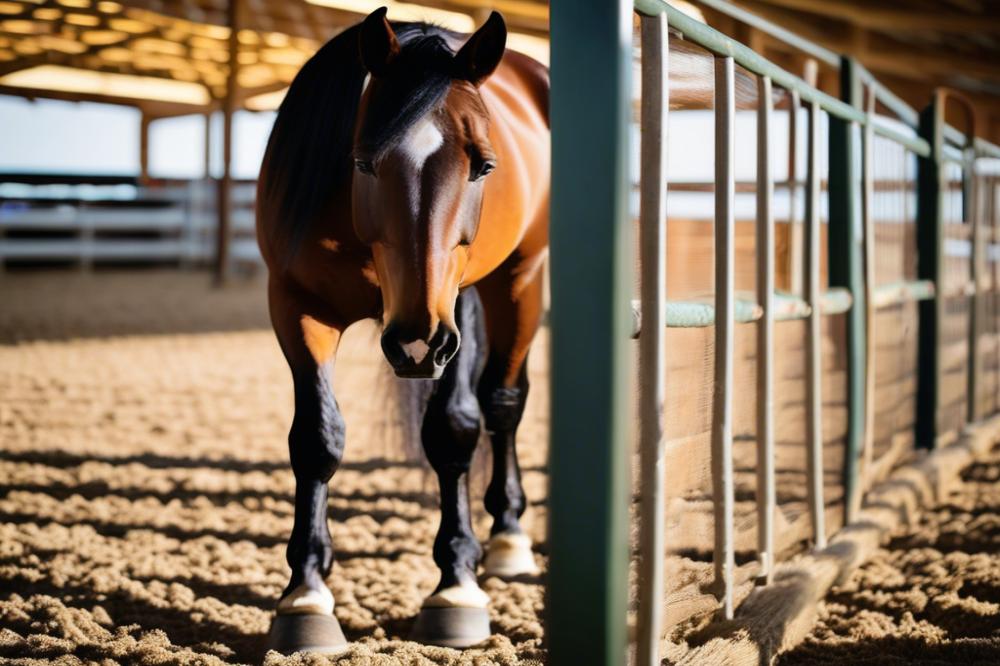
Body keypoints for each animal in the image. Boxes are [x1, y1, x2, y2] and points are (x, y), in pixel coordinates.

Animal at [254, 6, 552, 652]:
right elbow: (316, 439)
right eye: (364, 161)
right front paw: (305, 596)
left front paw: (456, 585)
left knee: (503, 401)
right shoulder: (296, 308)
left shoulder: (454, 311)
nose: (416, 341)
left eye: (483, 165)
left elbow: (454, 429)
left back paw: (508, 536)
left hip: (517, 281)